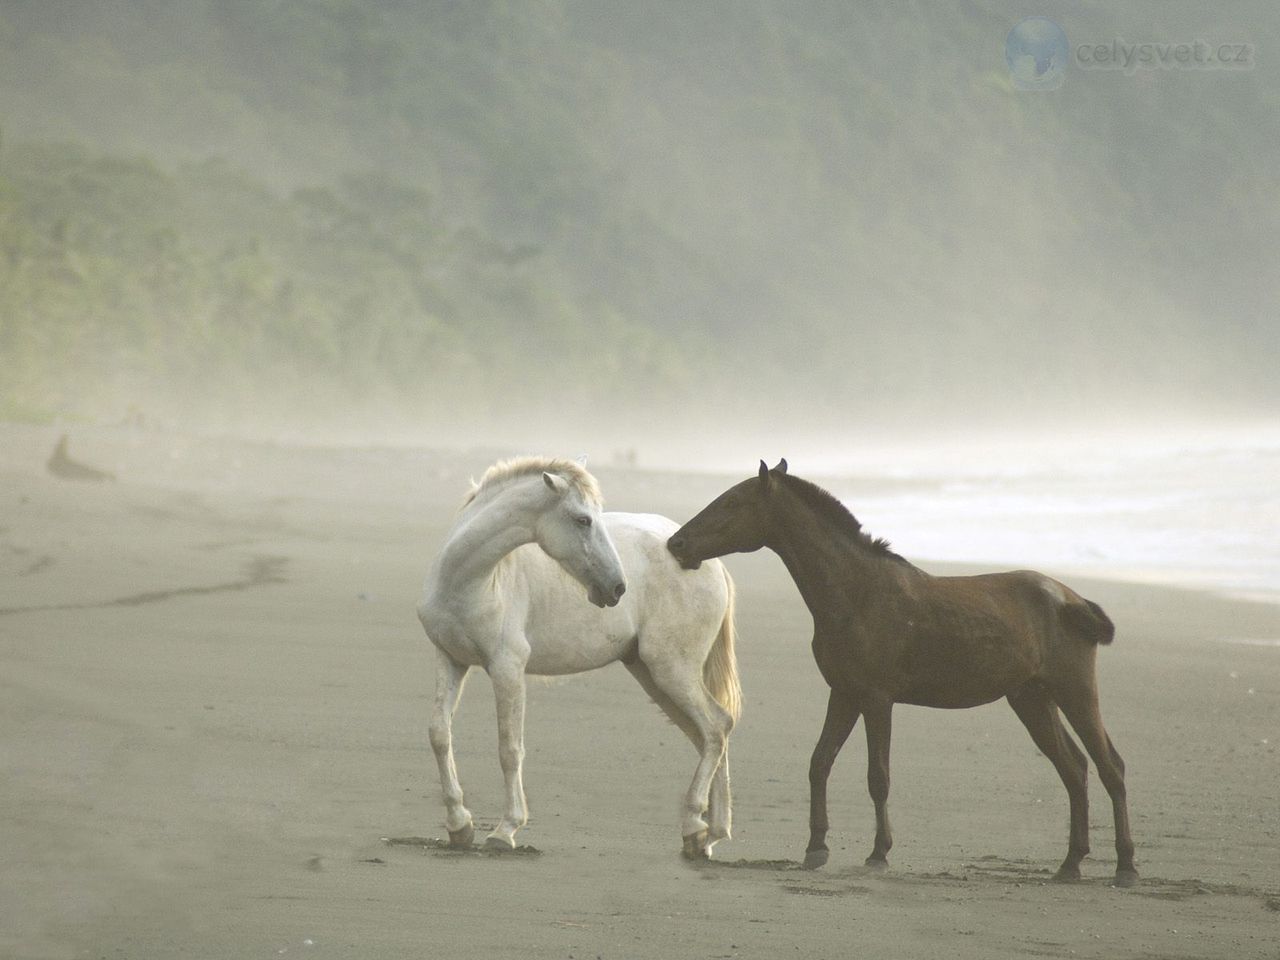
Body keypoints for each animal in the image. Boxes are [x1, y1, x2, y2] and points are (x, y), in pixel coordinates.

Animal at [417, 457, 741, 858]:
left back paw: (697, 826)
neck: (468, 581)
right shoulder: (450, 660)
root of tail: (710, 563)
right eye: (583, 520)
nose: (617, 587)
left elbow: (509, 749)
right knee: (710, 733)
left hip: (671, 671)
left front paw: (505, 830)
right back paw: (707, 834)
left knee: (716, 728)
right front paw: (459, 825)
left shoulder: (507, 668)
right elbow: (439, 734)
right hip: (653, 675)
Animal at [666, 459, 1137, 886]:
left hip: (1074, 690)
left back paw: (1125, 867)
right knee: (1074, 768)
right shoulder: (844, 692)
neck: (857, 593)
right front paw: (816, 848)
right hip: (1032, 698)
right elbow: (820, 763)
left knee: (1110, 766)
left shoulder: (877, 698)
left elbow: (878, 776)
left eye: (733, 502)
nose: (677, 543)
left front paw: (878, 854)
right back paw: (1070, 864)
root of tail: (1071, 599)